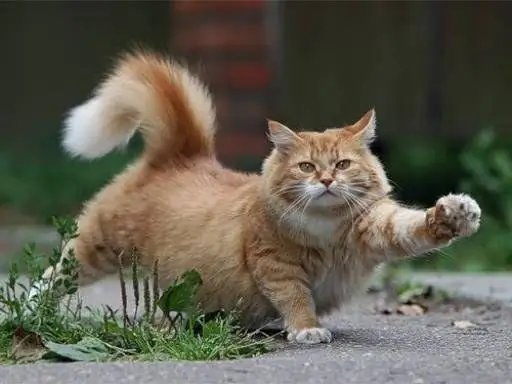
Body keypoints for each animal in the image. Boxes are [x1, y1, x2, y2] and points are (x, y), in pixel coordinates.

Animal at [31, 51, 480, 344]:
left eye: (343, 164)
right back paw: (33, 311)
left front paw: (456, 214)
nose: (326, 181)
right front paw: (306, 329)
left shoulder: (374, 226)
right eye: (306, 167)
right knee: (52, 274)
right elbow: (297, 299)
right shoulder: (275, 264)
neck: (326, 230)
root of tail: (181, 153)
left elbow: (412, 227)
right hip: (96, 247)